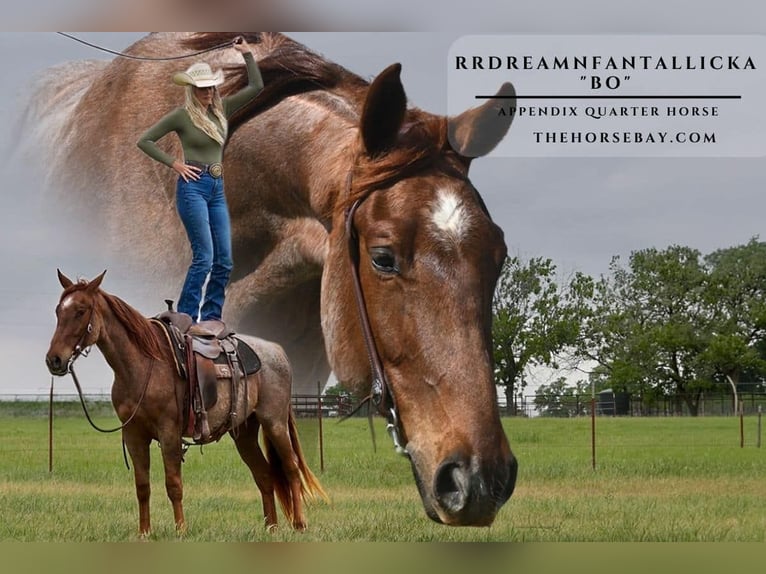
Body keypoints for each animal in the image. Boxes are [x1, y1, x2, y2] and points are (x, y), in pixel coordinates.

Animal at [45, 269, 327, 536]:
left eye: (80, 311)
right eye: (58, 310)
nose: (54, 360)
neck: (143, 365)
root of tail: (278, 352)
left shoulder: (169, 433)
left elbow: (174, 484)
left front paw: (181, 529)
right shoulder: (134, 434)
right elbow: (142, 486)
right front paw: (144, 532)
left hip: (274, 422)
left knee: (291, 468)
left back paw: (300, 524)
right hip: (245, 433)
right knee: (265, 475)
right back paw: (272, 528)